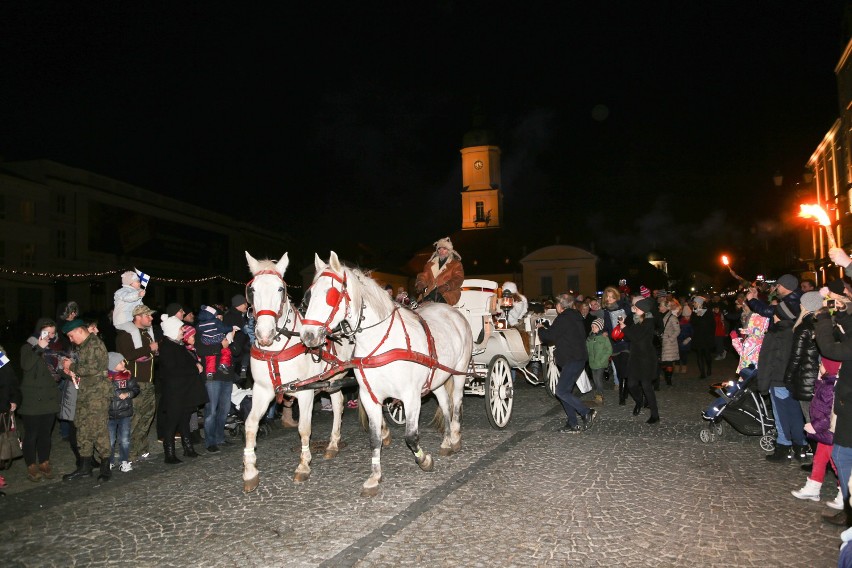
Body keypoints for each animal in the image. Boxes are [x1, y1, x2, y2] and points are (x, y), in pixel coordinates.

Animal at [243, 251, 356, 490]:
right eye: (252, 290)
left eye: (280, 289)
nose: (264, 334)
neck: (275, 351)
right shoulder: (262, 390)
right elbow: (250, 425)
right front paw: (249, 471)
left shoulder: (305, 392)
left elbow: (304, 429)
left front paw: (303, 466)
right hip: (333, 379)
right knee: (338, 403)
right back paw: (333, 444)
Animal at [300, 253, 472, 496]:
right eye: (309, 295)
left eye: (330, 295)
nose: (307, 336)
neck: (381, 343)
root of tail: (454, 313)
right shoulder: (369, 397)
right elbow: (374, 438)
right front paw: (374, 477)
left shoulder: (411, 397)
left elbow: (411, 436)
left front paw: (424, 460)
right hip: (437, 378)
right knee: (445, 405)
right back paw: (447, 441)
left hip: (459, 372)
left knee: (456, 402)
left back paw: (455, 437)